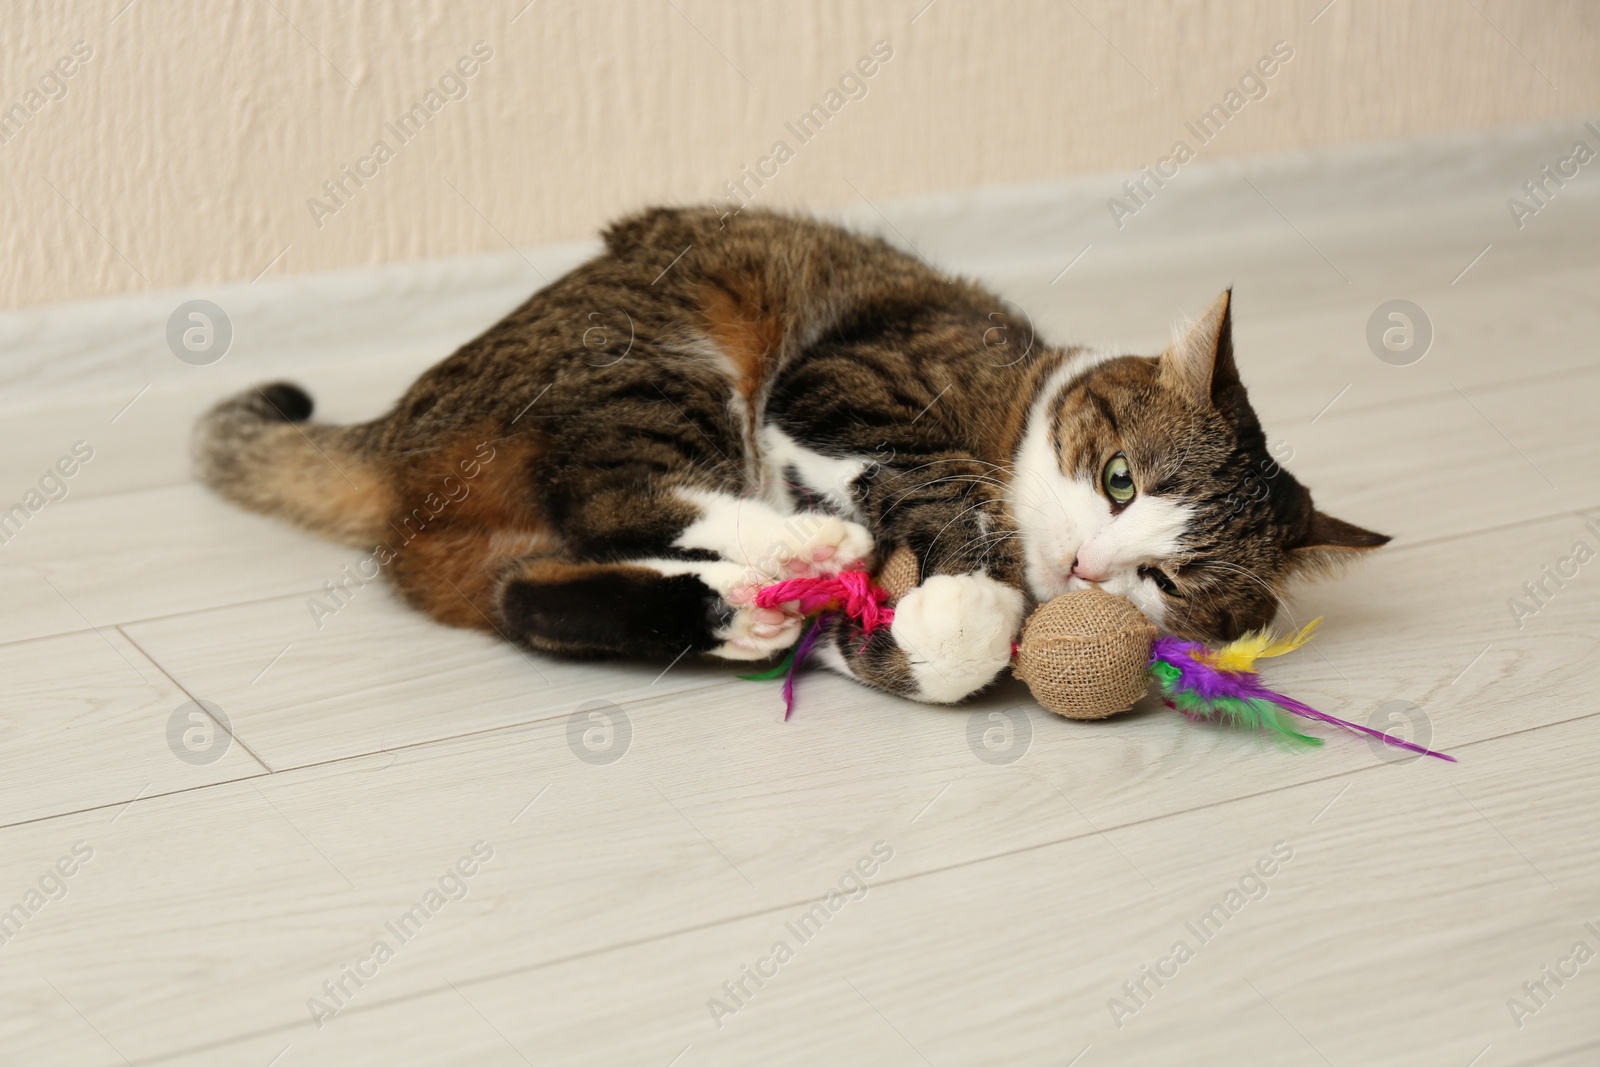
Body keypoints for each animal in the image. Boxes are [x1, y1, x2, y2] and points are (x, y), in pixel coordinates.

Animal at [196, 206, 1388, 710]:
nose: (1091, 570)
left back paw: (740, 611)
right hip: (657, 354)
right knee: (613, 489)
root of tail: (399, 428)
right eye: (1119, 478)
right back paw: (795, 549)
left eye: (1170, 579)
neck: (1015, 398)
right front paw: (962, 602)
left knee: (528, 591)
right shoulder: (845, 377)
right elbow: (935, 482)